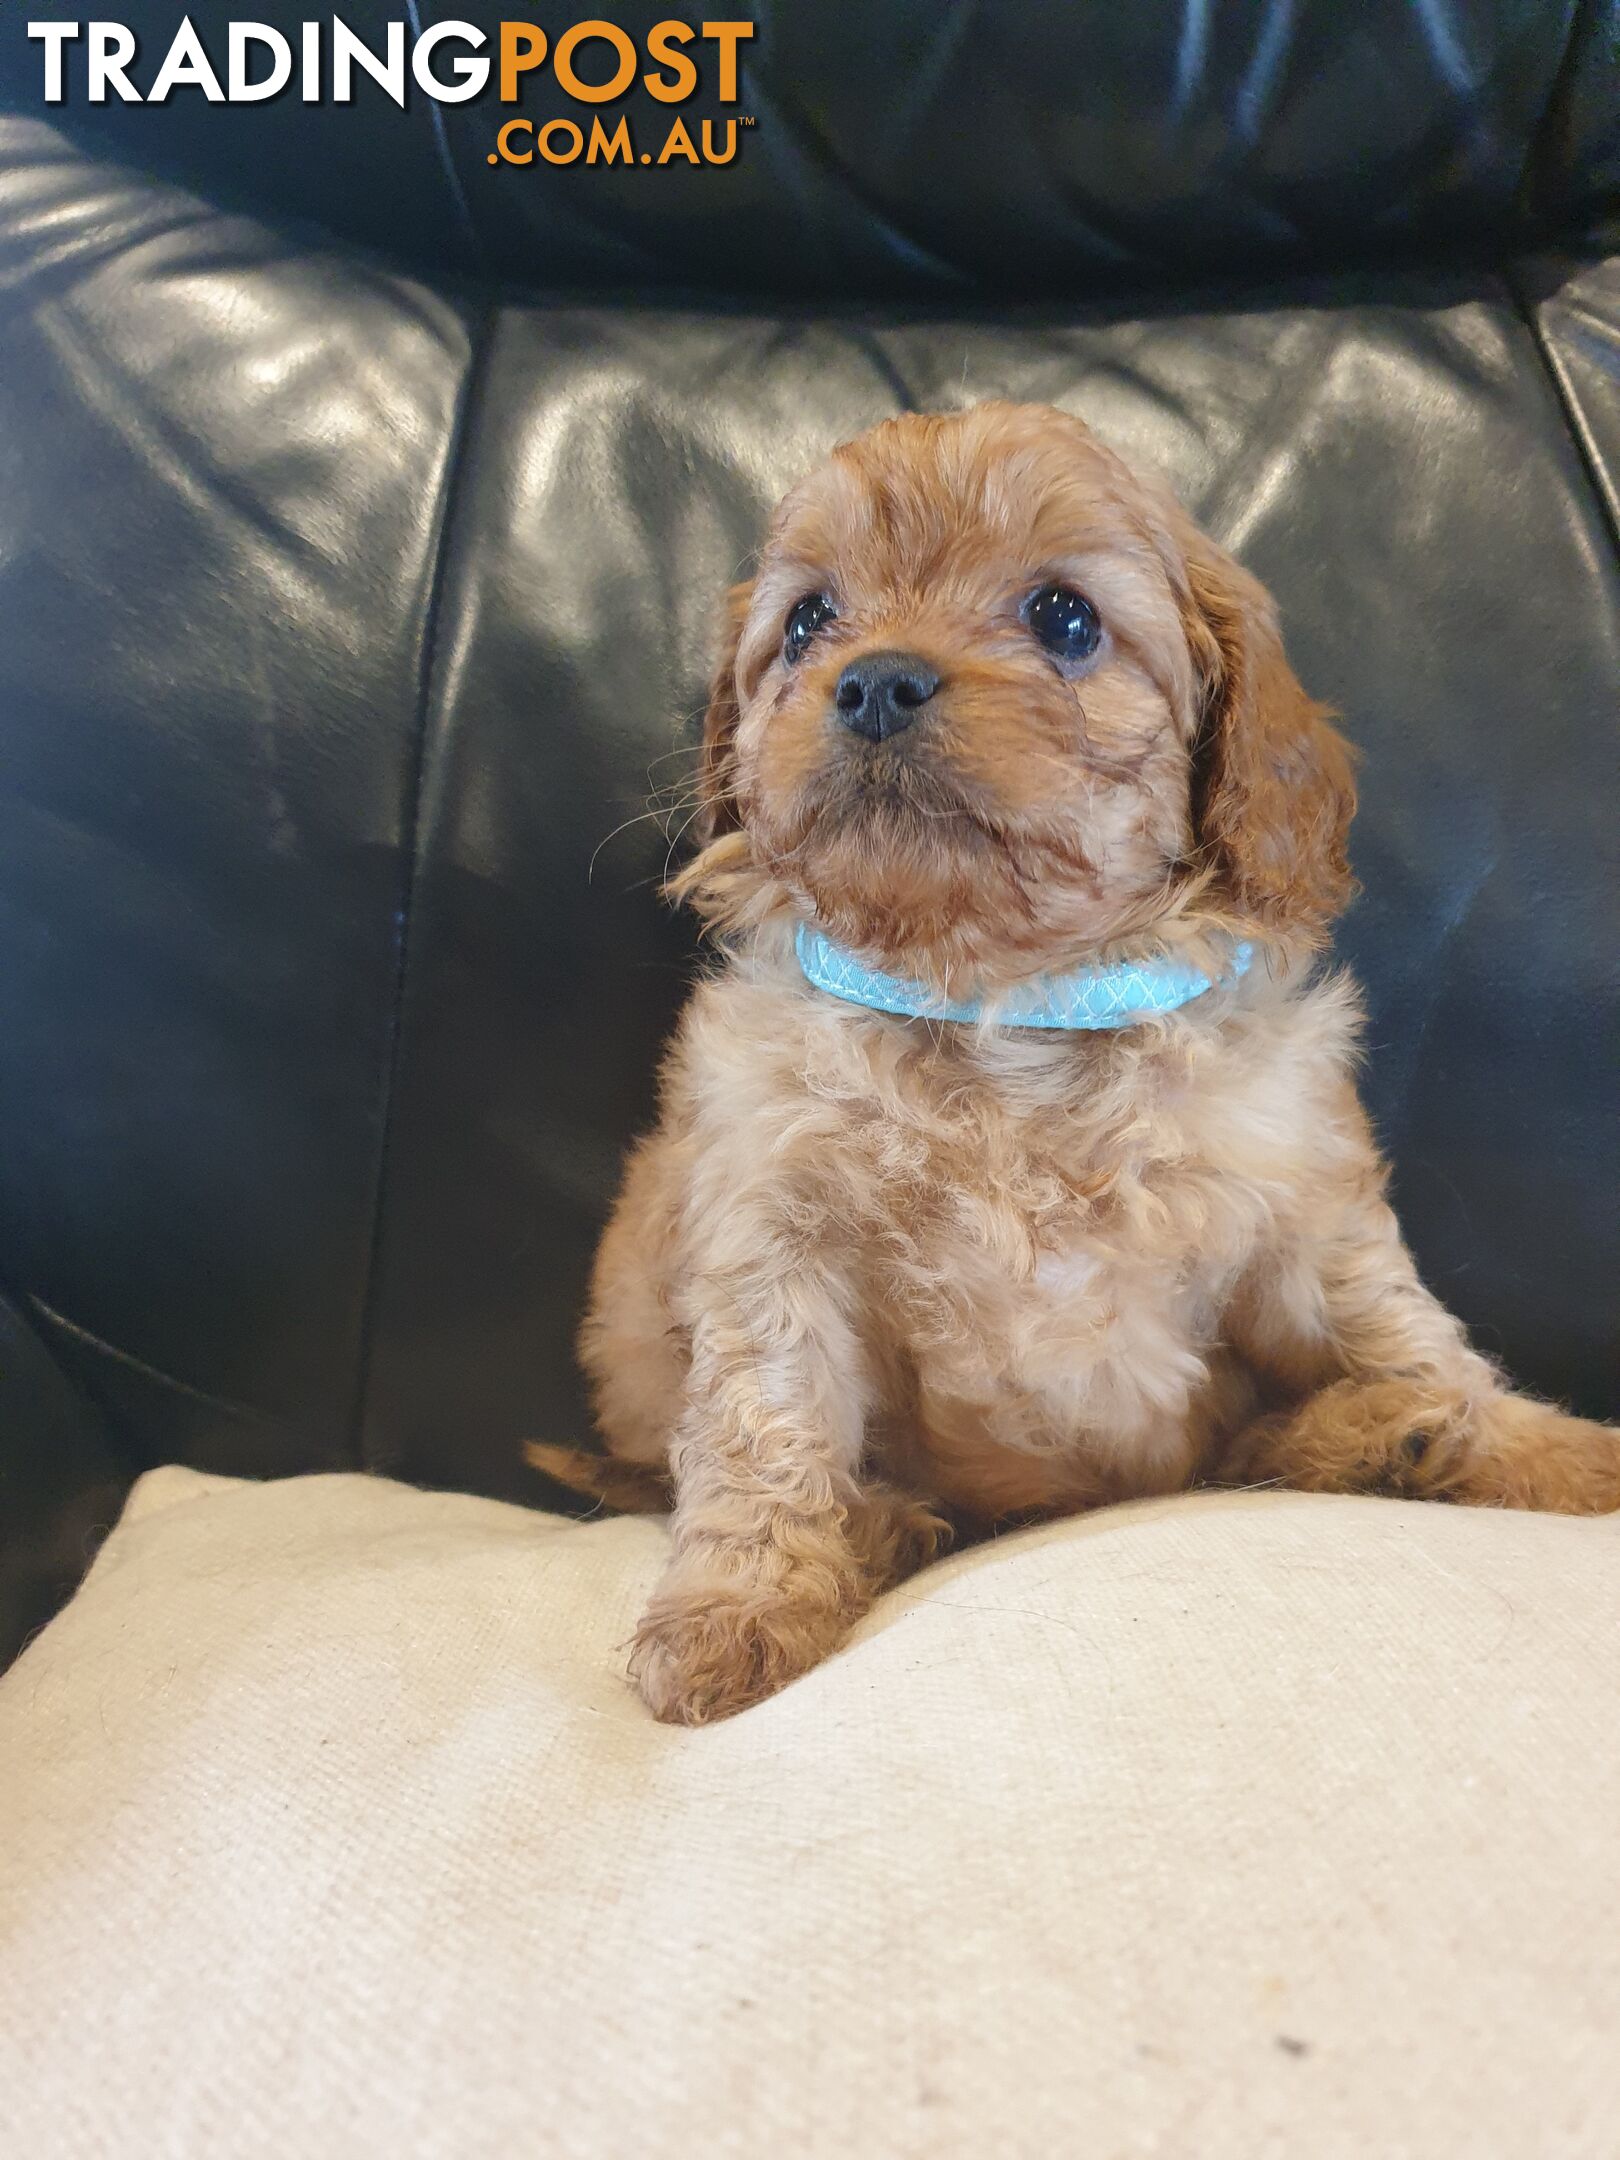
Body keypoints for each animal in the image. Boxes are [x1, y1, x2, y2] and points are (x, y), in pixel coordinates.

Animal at [535, 401, 1620, 1719]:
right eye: (807, 619)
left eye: (1065, 618)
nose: (875, 681)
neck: (1009, 1001)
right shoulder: (771, 1230)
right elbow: (764, 1420)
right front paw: (734, 1604)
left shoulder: (1305, 1213)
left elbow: (1409, 1329)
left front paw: (1543, 1448)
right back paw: (891, 1521)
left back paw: (1382, 1439)